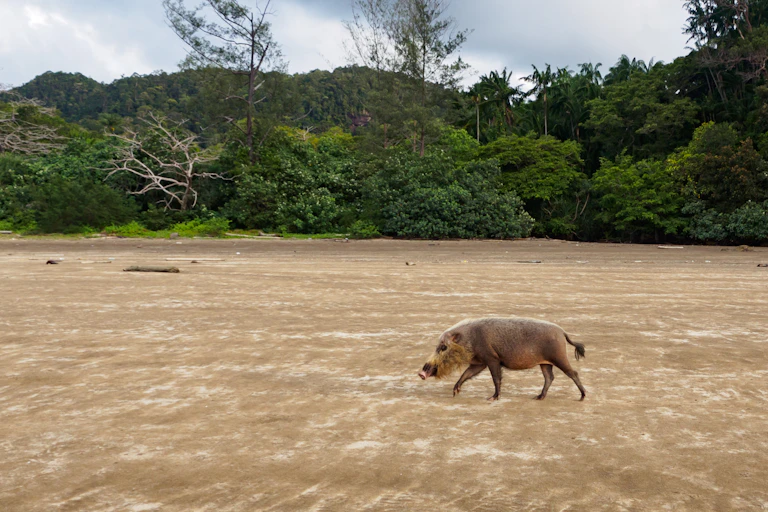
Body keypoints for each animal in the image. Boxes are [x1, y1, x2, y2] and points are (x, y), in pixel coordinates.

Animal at [418, 317, 586, 401]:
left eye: (443, 347)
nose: (421, 373)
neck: (470, 339)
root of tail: (562, 332)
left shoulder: (492, 358)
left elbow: (496, 378)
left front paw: (491, 398)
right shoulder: (480, 362)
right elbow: (466, 374)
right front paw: (455, 392)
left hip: (559, 356)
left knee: (573, 373)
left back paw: (582, 397)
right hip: (545, 363)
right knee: (549, 377)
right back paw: (538, 397)